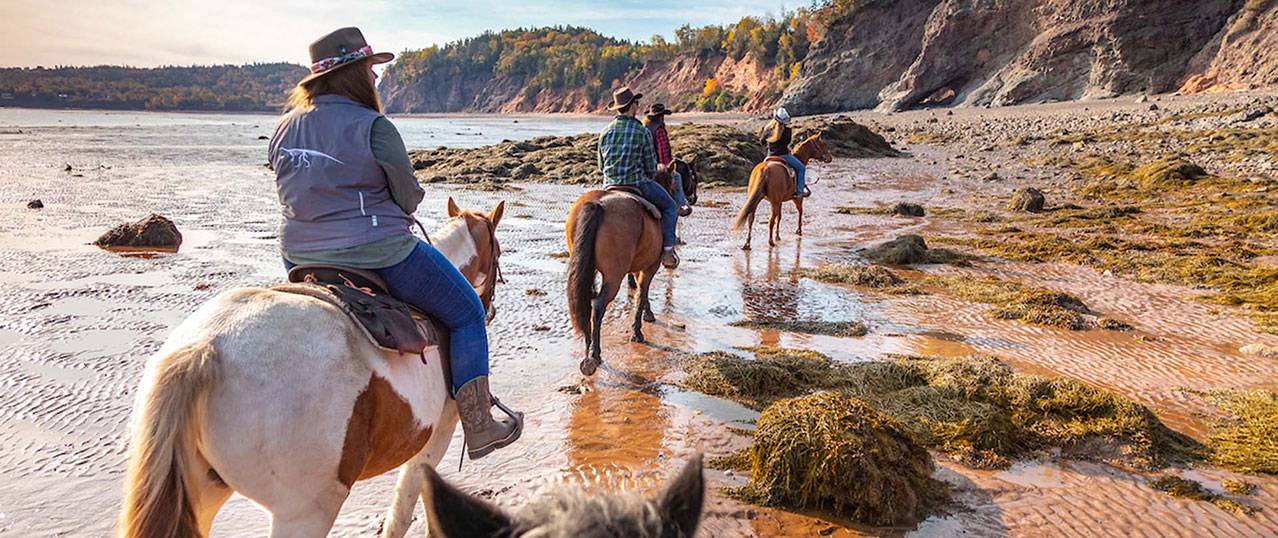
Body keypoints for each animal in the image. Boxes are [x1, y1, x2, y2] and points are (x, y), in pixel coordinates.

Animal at [116, 196, 503, 536]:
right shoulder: (438, 434)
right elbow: (405, 505)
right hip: (305, 511)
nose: (490, 308)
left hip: (203, 493)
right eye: (498, 254)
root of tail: (205, 349)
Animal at [569, 166, 690, 373]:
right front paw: (637, 332)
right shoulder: (650, 266)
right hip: (613, 276)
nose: (687, 207)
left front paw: (648, 315)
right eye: (676, 184)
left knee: (586, 301)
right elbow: (642, 293)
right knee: (598, 305)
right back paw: (594, 355)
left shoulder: (636, 265)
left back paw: (588, 346)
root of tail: (598, 204)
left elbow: (641, 292)